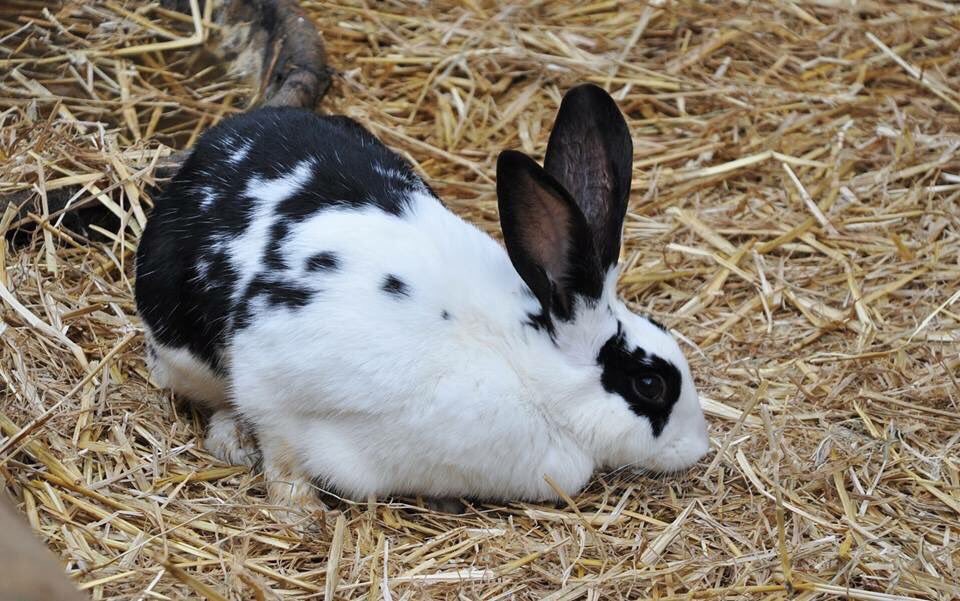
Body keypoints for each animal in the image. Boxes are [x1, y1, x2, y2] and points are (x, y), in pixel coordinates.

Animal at [135, 84, 710, 510]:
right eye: (650, 384)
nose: (699, 449)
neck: (522, 365)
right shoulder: (273, 383)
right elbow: (283, 454)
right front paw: (300, 514)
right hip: (185, 355)